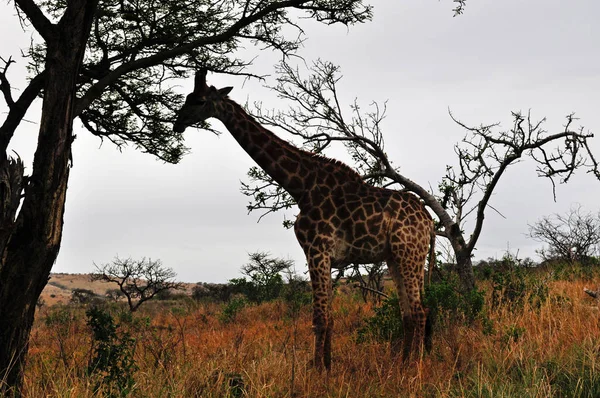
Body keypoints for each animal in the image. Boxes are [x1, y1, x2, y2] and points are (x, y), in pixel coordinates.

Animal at [173, 69, 436, 370]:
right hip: (395, 256)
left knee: (419, 310)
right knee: (408, 312)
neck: (301, 187)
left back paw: (414, 368)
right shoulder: (324, 255)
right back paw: (401, 365)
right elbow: (328, 318)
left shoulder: (317, 250)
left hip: (409, 253)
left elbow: (319, 318)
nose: (177, 124)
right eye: (186, 97)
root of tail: (429, 222)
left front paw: (318, 370)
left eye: (199, 100)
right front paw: (327, 366)